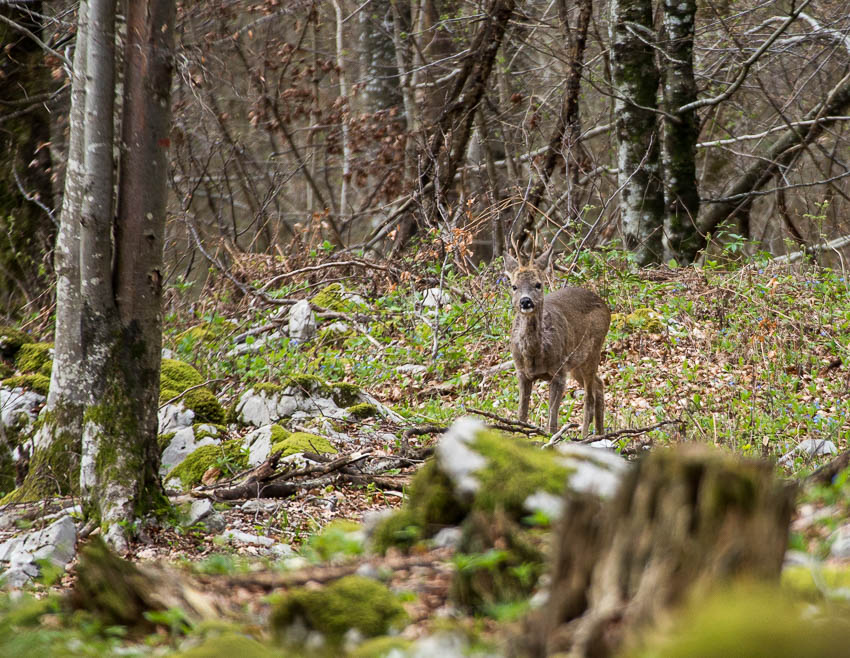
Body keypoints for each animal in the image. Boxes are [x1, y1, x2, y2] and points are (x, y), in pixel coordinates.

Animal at [504, 246, 608, 436]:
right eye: (514, 286)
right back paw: (600, 433)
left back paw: (585, 436)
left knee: (589, 396)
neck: (535, 355)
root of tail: (605, 305)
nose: (525, 301)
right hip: (576, 365)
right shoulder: (521, 372)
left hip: (593, 351)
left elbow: (552, 420)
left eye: (538, 284)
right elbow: (521, 415)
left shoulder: (559, 372)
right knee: (599, 385)